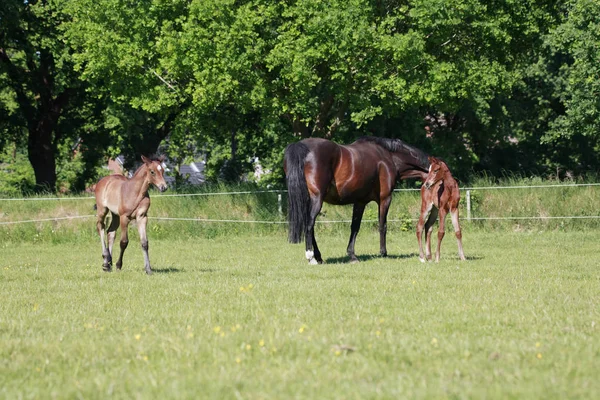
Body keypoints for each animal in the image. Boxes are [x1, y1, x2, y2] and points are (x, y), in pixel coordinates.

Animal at [284, 136, 428, 264]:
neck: (388, 157)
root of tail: (301, 146)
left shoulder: (360, 201)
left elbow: (355, 227)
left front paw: (352, 255)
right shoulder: (385, 198)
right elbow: (383, 225)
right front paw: (383, 252)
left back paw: (319, 257)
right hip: (316, 199)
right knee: (309, 224)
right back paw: (311, 257)